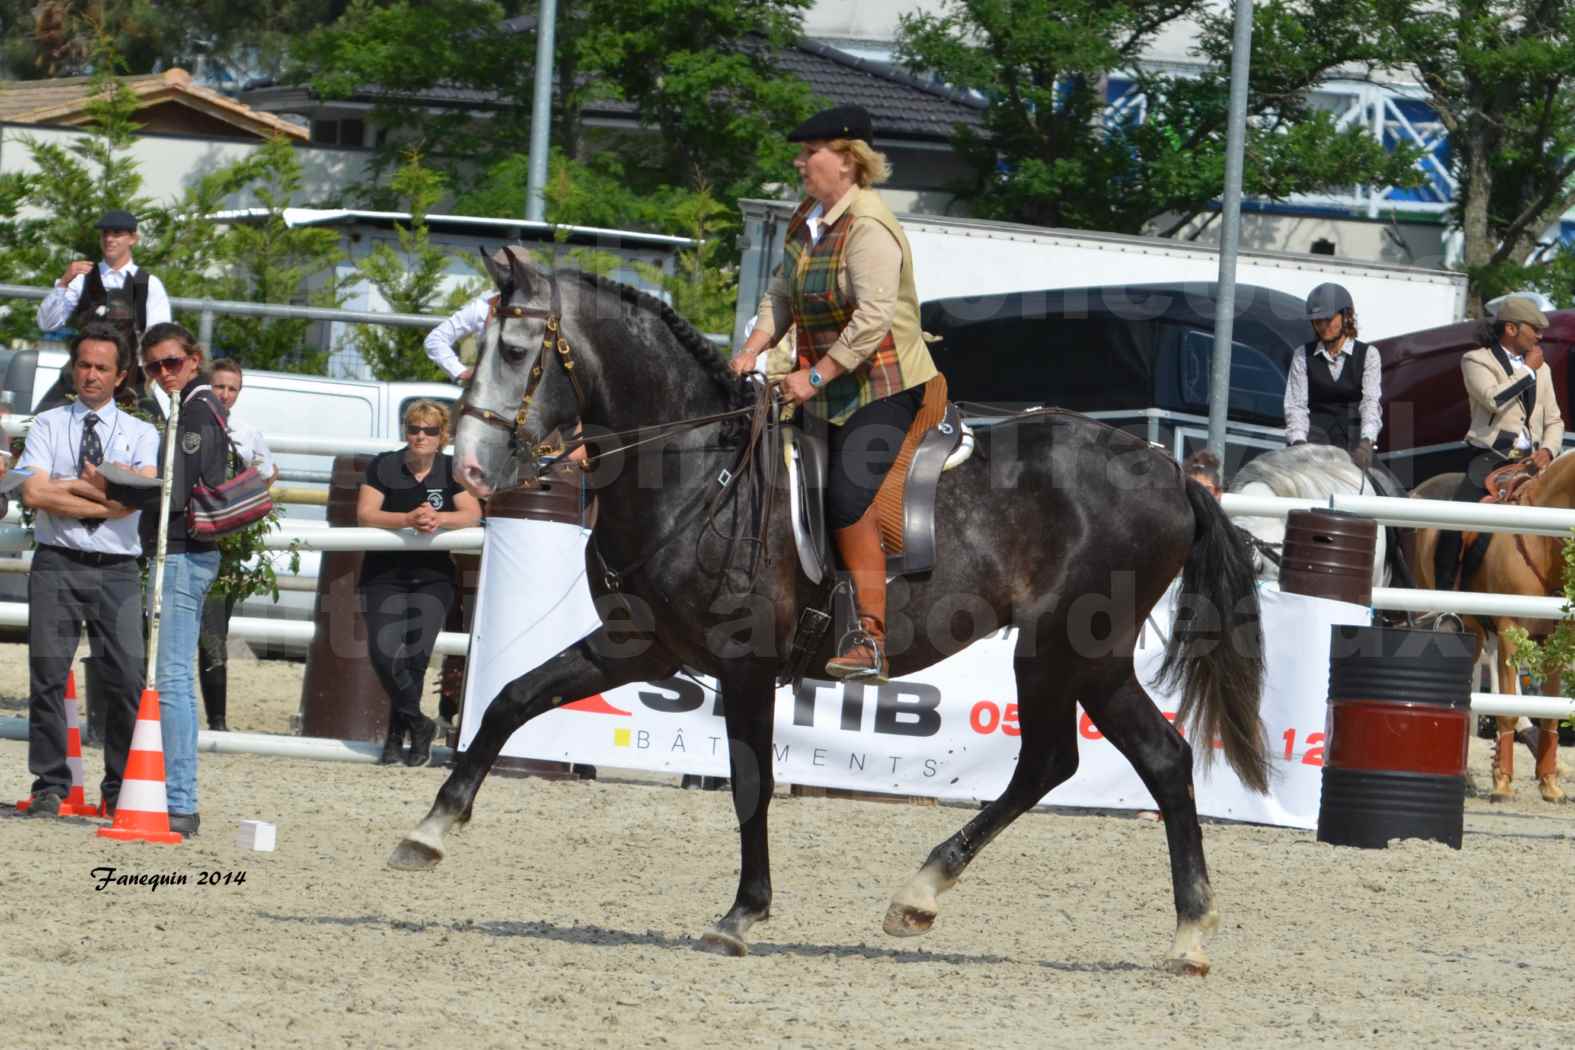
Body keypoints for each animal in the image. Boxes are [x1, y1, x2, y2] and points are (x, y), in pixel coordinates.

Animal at [387, 255, 1272, 976]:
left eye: (512, 352)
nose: (472, 469)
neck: (693, 471)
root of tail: (1169, 473)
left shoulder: (743, 665)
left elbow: (751, 782)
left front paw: (741, 916)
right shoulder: (638, 644)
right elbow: (512, 700)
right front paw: (428, 831)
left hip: (1065, 649)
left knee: (1084, 759)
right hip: (1081, 658)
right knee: (1131, 759)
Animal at [1411, 453, 1568, 805]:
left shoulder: (1556, 638)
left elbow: (1550, 712)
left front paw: (1549, 783)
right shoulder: (1511, 630)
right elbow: (1508, 708)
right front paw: (1503, 784)